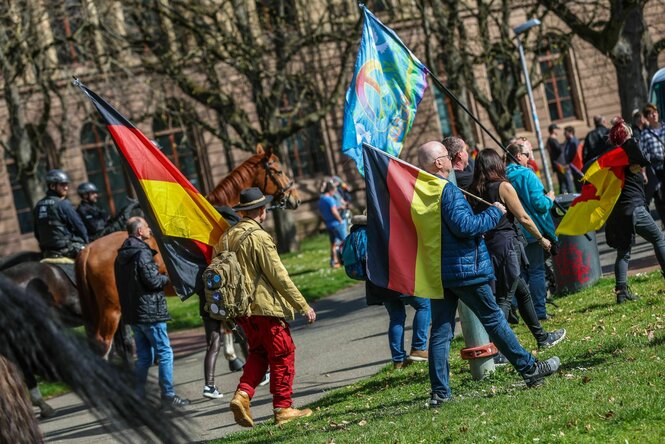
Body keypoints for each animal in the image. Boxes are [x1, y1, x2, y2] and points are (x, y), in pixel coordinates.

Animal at [74, 146, 298, 358]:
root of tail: (88, 249)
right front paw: (234, 354)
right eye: (278, 169)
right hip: (111, 309)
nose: (294, 198)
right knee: (104, 344)